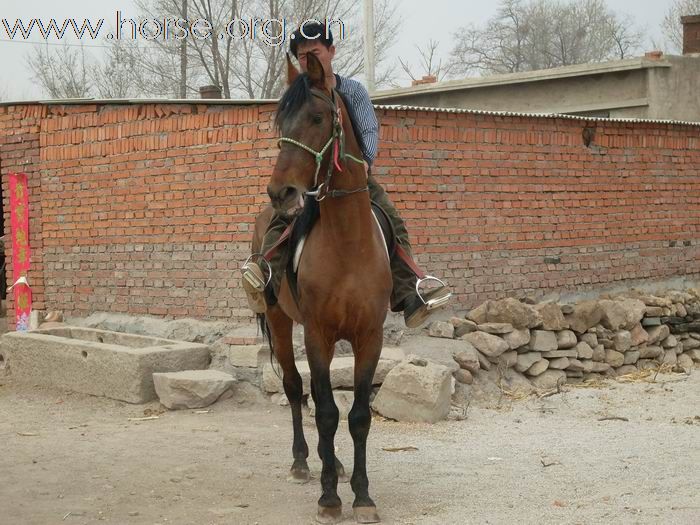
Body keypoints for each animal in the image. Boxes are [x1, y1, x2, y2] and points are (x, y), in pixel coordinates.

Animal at [252, 54, 394, 524]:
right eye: (280, 124)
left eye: (316, 118)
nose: (280, 192)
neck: (348, 243)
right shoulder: (317, 333)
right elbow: (328, 412)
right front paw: (330, 497)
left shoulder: (369, 337)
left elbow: (359, 416)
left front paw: (362, 496)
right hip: (280, 322)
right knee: (296, 387)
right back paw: (302, 461)